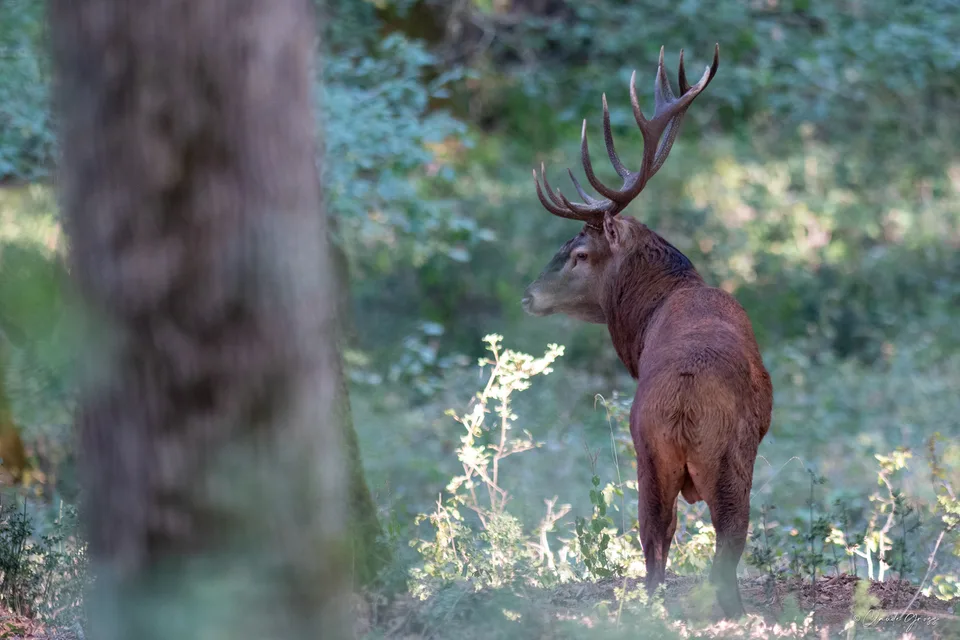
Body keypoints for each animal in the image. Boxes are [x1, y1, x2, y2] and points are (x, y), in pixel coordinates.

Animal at [520, 45, 772, 619]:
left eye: (578, 253)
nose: (528, 295)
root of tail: (682, 407)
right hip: (721, 457)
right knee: (714, 538)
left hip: (651, 455)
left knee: (658, 538)